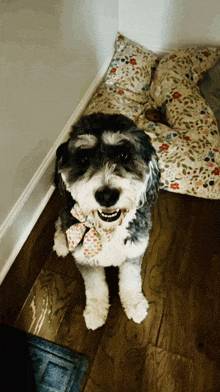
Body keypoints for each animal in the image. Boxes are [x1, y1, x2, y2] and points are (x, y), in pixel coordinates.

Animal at [52, 113, 160, 330]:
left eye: (124, 155)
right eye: (84, 158)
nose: (107, 196)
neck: (107, 230)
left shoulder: (134, 251)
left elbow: (130, 280)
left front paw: (135, 305)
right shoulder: (84, 258)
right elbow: (95, 287)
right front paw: (95, 313)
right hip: (67, 211)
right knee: (60, 219)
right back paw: (61, 242)